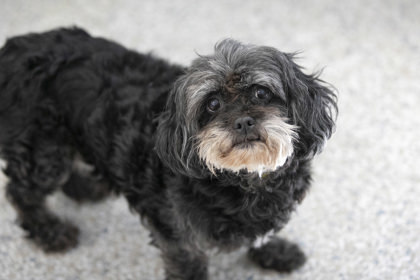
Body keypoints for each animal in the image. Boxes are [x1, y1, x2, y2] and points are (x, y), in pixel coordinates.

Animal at [0, 27, 334, 278]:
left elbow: (265, 234)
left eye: (261, 92)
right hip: (44, 150)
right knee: (22, 191)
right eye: (212, 104)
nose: (242, 121)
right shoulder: (181, 242)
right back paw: (50, 231)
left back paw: (85, 187)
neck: (244, 180)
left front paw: (275, 251)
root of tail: (14, 47)